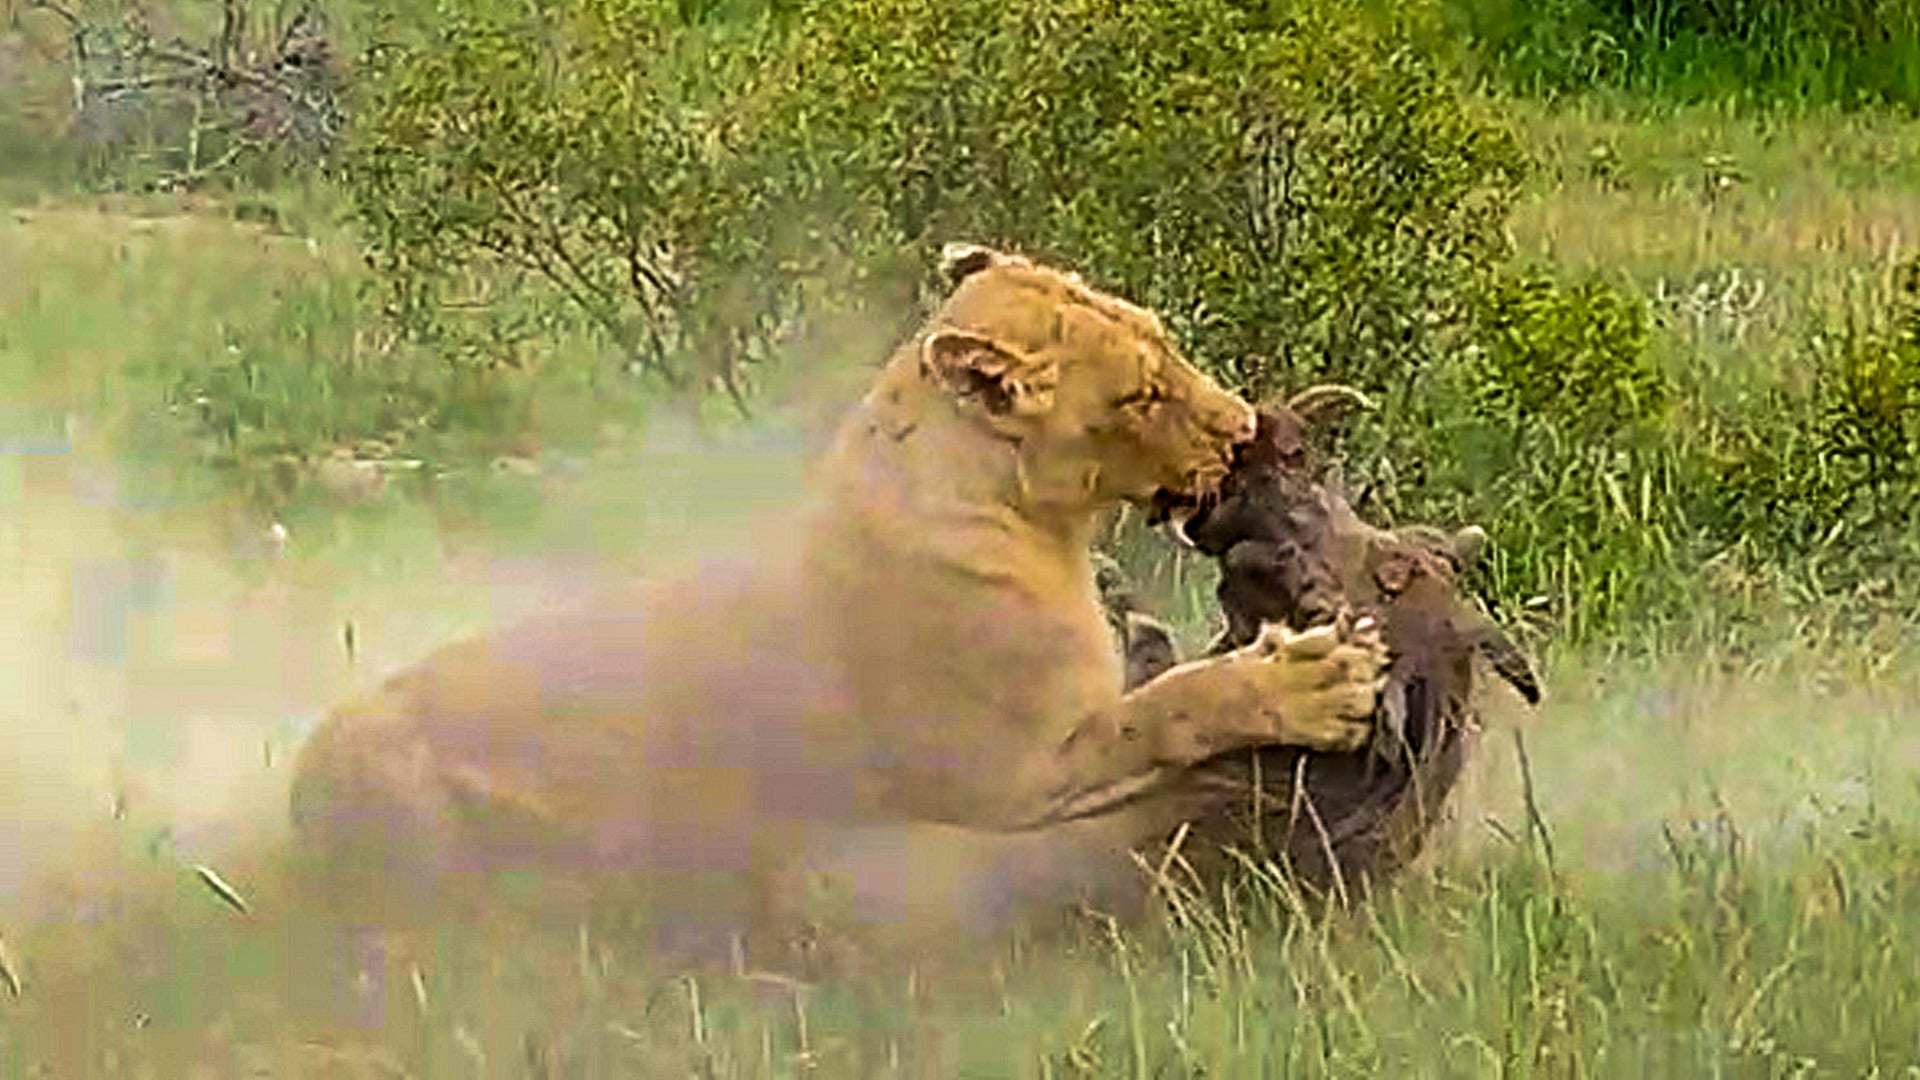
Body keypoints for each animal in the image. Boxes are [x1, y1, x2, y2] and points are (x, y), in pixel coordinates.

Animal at [286, 244, 1390, 968]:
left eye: (1161, 338)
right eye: (1138, 396)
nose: (1244, 429)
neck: (1031, 522)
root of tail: (297, 797)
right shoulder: (1008, 776)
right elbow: (1171, 707)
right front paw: (1320, 678)